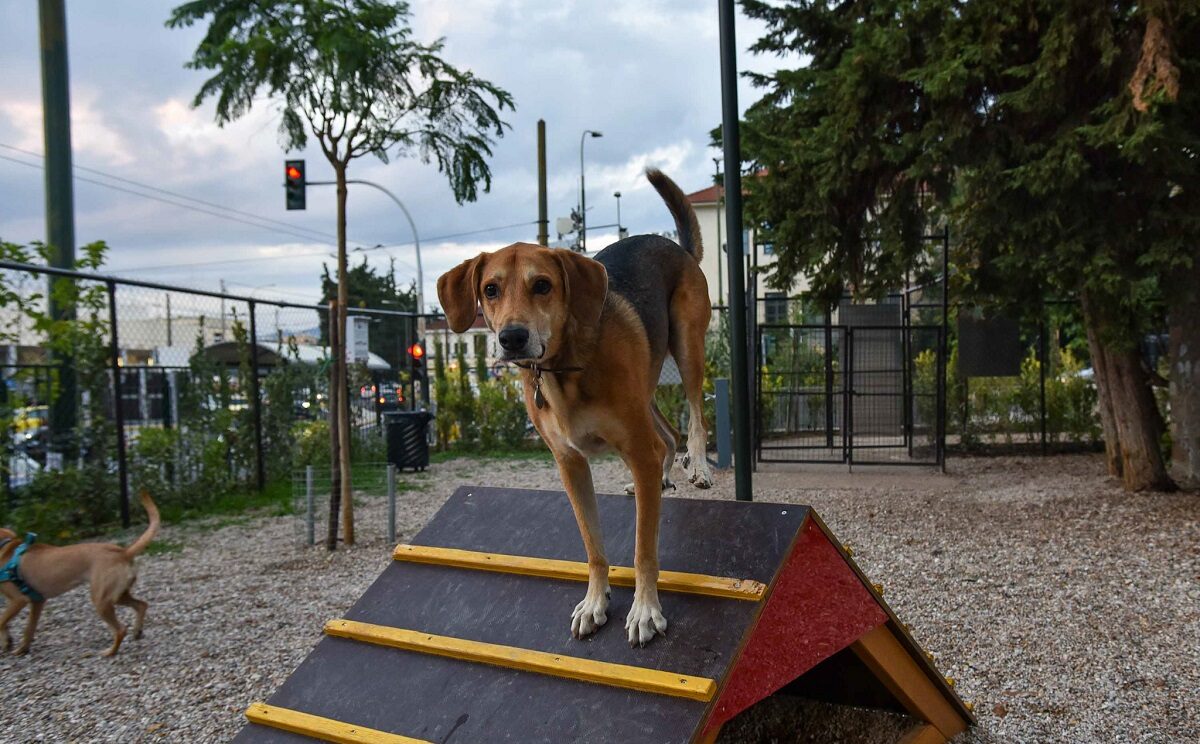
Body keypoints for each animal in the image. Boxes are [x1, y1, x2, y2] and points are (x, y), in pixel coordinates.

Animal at [0, 494, 159, 657]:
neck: (5, 549)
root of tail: (123, 552)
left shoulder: (19, 600)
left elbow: (1, 621)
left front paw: (7, 642)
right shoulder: (37, 602)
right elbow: (28, 629)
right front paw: (21, 648)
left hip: (101, 600)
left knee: (120, 629)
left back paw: (110, 652)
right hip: (118, 596)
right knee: (142, 605)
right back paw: (137, 631)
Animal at [439, 168, 710, 643]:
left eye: (542, 285)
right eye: (490, 289)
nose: (512, 337)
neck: (563, 369)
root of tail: (676, 247)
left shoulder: (634, 448)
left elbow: (643, 549)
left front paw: (644, 610)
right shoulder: (571, 464)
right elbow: (593, 545)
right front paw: (596, 600)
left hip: (687, 345)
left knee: (694, 416)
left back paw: (697, 465)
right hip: (646, 391)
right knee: (666, 436)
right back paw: (660, 479)